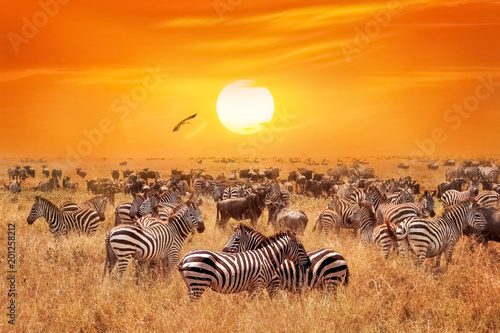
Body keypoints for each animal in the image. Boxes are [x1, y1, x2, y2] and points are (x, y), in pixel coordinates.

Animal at [176, 230, 308, 300]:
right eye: (301, 247)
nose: (308, 264)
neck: (266, 258)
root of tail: (184, 258)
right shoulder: (259, 284)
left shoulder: (253, 287)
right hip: (198, 282)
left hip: (191, 284)